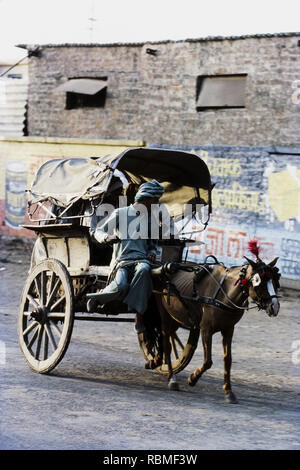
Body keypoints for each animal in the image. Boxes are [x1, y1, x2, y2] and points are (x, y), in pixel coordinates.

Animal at [152, 253, 282, 404]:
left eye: (275, 281)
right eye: (259, 282)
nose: (275, 306)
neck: (224, 293)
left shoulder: (228, 329)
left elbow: (228, 360)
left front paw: (228, 391)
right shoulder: (206, 329)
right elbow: (208, 361)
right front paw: (193, 378)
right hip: (165, 314)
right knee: (167, 343)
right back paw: (172, 378)